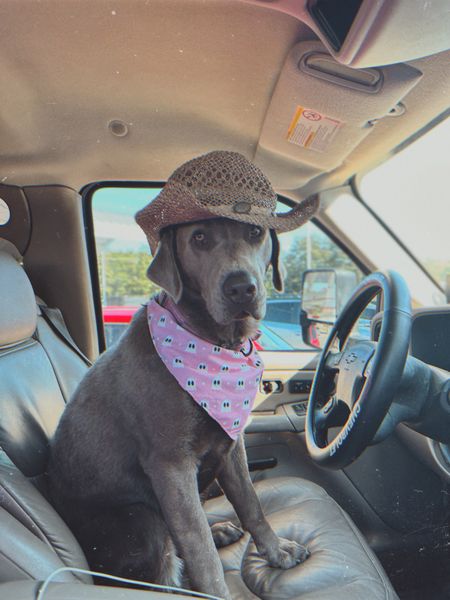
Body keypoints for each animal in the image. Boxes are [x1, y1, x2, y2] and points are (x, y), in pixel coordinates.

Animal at [47, 151, 316, 600]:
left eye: (254, 231)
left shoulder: (232, 446)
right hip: (140, 520)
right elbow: (200, 551)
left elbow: (252, 506)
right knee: (165, 570)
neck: (210, 342)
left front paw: (276, 551)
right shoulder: (171, 466)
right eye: (200, 238)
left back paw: (222, 529)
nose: (241, 288)